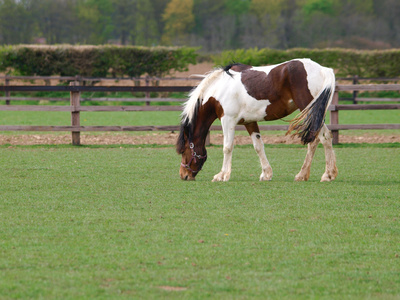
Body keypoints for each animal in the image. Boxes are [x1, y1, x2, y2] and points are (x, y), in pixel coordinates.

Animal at [177, 58, 338, 180]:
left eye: (184, 150)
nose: (184, 175)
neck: (219, 90)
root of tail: (323, 69)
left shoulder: (227, 120)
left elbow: (227, 147)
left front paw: (222, 175)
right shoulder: (249, 122)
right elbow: (258, 146)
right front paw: (266, 174)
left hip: (310, 111)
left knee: (318, 139)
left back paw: (315, 175)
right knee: (326, 136)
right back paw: (323, 174)